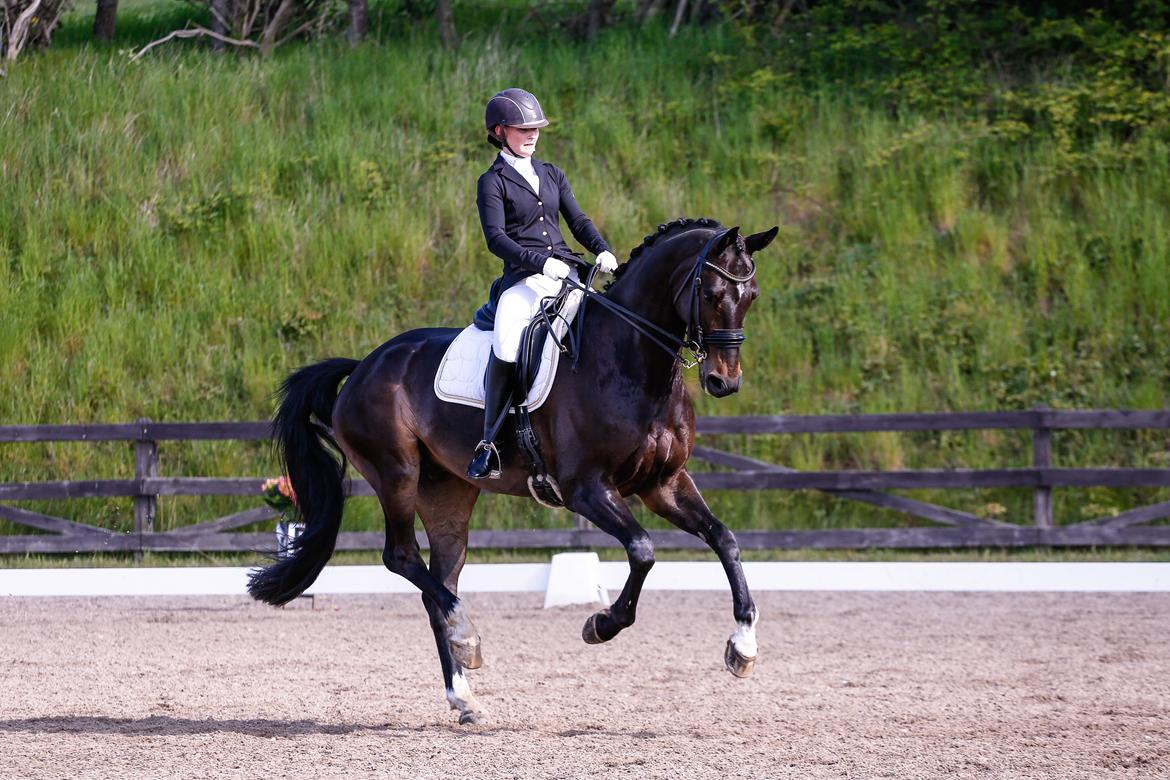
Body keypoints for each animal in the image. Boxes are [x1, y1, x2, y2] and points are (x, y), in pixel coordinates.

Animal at [246, 215, 776, 725]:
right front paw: (600, 625)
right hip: (396, 475)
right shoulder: (585, 489)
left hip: (448, 492)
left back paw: (464, 695)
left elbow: (725, 539)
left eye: (751, 295)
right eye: (711, 294)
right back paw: (467, 637)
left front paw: (743, 647)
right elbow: (643, 551)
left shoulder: (663, 484)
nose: (724, 382)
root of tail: (363, 367)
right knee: (401, 557)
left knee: (439, 581)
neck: (631, 360)